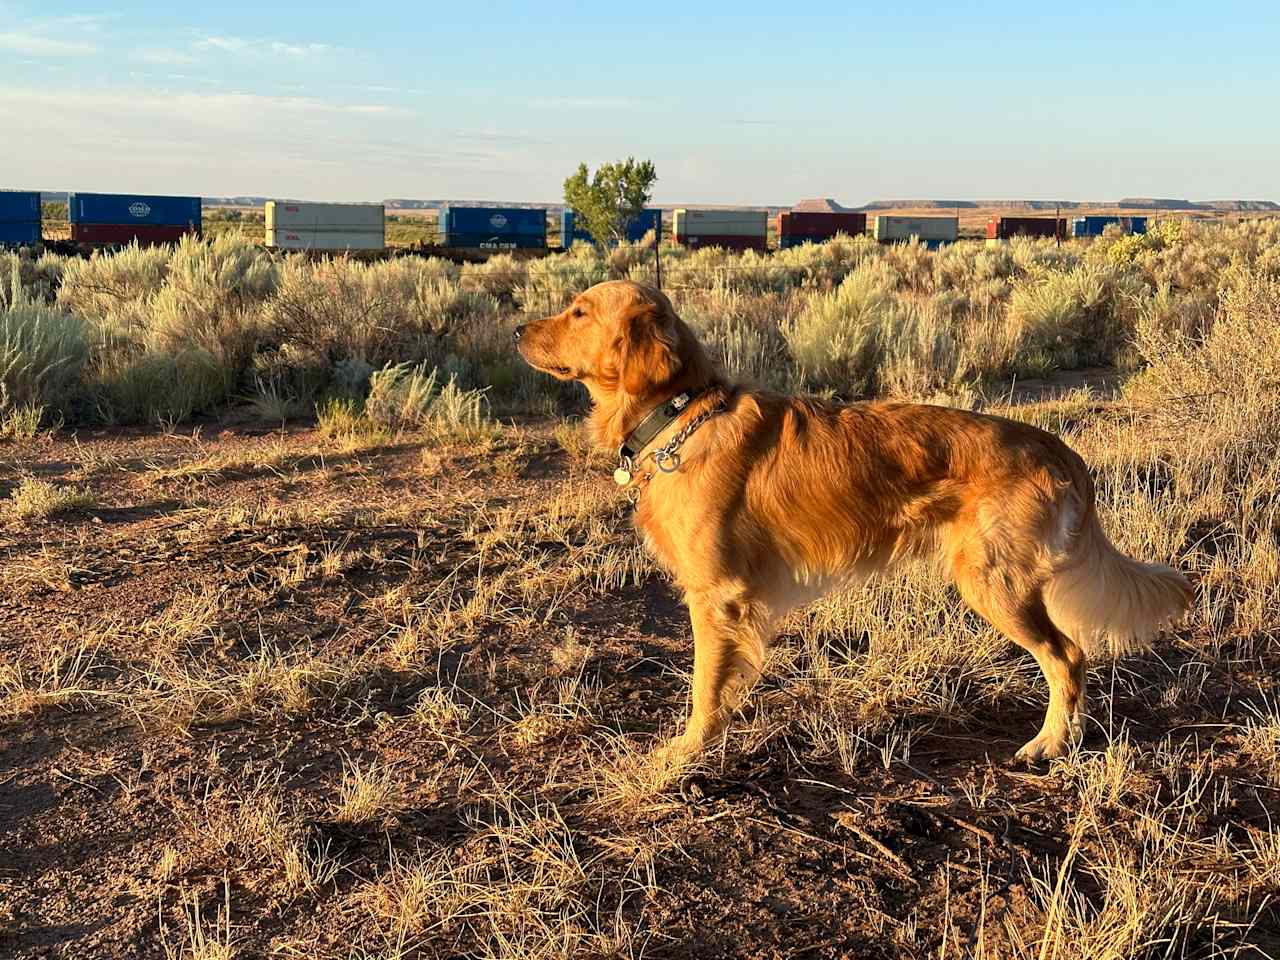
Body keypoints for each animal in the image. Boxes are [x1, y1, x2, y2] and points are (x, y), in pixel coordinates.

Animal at [514, 280, 1192, 768]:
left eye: (578, 312)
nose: (519, 330)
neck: (681, 414)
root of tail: (1056, 449)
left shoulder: (717, 597)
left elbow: (705, 686)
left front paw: (687, 751)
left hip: (993, 582)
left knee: (1068, 655)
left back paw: (1050, 743)